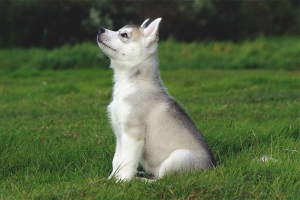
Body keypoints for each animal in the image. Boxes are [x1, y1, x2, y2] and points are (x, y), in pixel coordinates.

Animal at [96, 18, 216, 181]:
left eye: (124, 34)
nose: (100, 29)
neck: (131, 83)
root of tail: (211, 168)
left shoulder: (132, 134)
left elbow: (126, 162)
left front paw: (122, 182)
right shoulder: (120, 134)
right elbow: (117, 160)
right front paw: (110, 179)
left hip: (176, 158)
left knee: (161, 179)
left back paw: (141, 180)